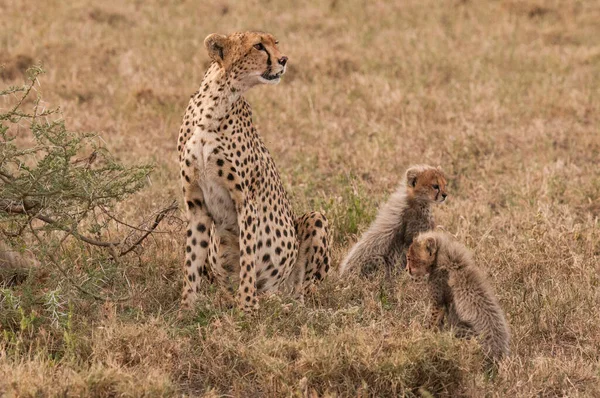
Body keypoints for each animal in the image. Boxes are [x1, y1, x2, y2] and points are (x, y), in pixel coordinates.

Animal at [179, 31, 328, 310]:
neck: (214, 106)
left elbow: (249, 257)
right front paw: (186, 309)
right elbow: (192, 259)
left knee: (305, 289)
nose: (284, 60)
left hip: (315, 220)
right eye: (258, 46)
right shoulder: (196, 203)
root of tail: (278, 291)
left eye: (275, 43)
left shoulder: (246, 201)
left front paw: (247, 306)